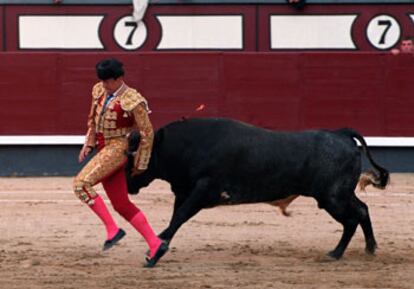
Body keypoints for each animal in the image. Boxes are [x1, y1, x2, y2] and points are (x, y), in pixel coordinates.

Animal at [125, 117, 388, 258]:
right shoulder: (185, 192)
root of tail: (341, 134)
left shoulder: (202, 191)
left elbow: (179, 216)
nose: (126, 186)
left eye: (133, 157)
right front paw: (160, 242)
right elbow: (175, 217)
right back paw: (370, 247)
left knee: (351, 219)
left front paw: (157, 245)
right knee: (362, 210)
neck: (187, 147)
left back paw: (336, 253)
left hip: (332, 197)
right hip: (341, 194)